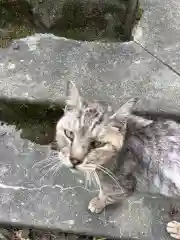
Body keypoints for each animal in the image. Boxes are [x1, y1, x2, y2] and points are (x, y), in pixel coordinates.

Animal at [55, 81, 180, 239]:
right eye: (69, 134)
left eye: (97, 144)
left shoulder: (123, 185)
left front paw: (98, 203)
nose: (75, 160)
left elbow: (107, 195)